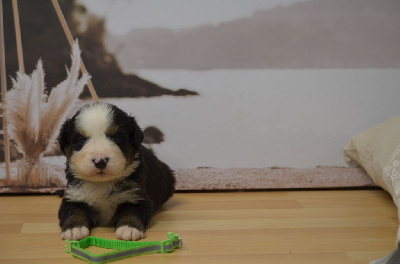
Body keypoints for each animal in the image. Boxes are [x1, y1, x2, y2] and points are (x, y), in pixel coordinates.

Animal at [56, 102, 175, 241]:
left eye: (116, 137)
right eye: (81, 140)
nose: (100, 161)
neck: (102, 184)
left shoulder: (137, 196)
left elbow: (131, 212)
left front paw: (129, 228)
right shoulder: (73, 196)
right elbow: (74, 211)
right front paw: (74, 228)